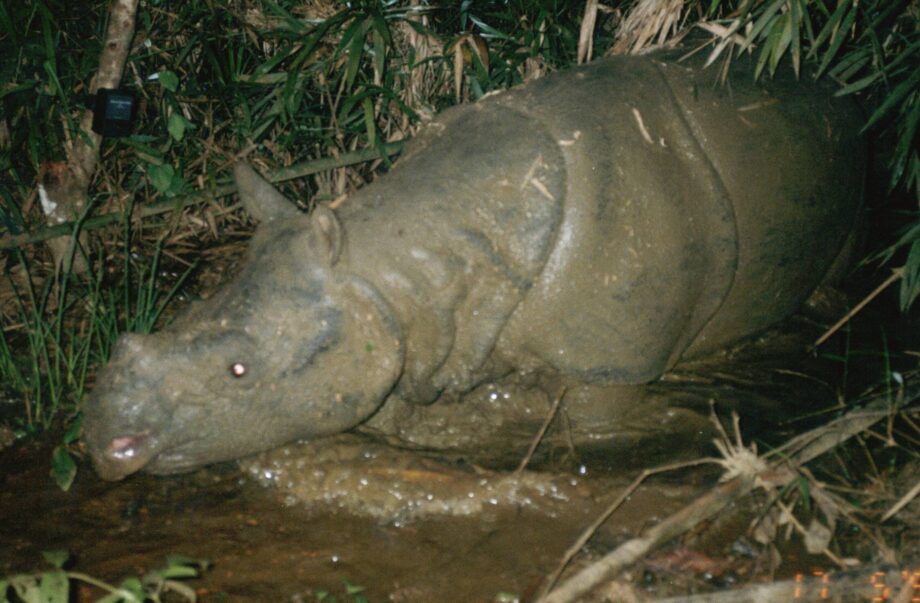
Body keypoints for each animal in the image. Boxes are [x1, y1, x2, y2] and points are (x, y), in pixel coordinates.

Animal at [84, 50, 864, 480]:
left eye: (239, 371)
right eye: (184, 310)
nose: (103, 439)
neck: (391, 255)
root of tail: (835, 92)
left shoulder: (611, 364)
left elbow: (594, 423)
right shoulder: (400, 324)